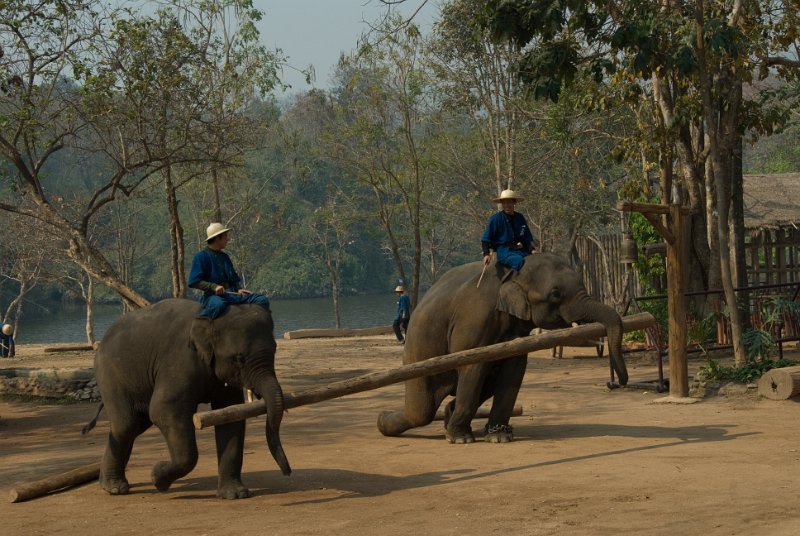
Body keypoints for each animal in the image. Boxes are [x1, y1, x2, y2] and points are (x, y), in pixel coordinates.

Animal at [93, 300, 290, 500]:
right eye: (238, 358)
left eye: (275, 349)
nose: (288, 472)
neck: (209, 319)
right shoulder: (179, 360)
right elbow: (164, 410)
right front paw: (157, 477)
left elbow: (230, 415)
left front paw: (236, 494)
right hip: (110, 375)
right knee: (127, 425)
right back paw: (115, 488)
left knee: (134, 425)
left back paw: (109, 484)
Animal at [378, 254, 628, 444]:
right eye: (556, 293)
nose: (618, 382)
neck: (512, 272)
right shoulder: (474, 320)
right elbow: (472, 365)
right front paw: (461, 440)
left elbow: (513, 369)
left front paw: (499, 437)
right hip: (417, 352)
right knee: (421, 411)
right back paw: (387, 421)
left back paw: (448, 421)